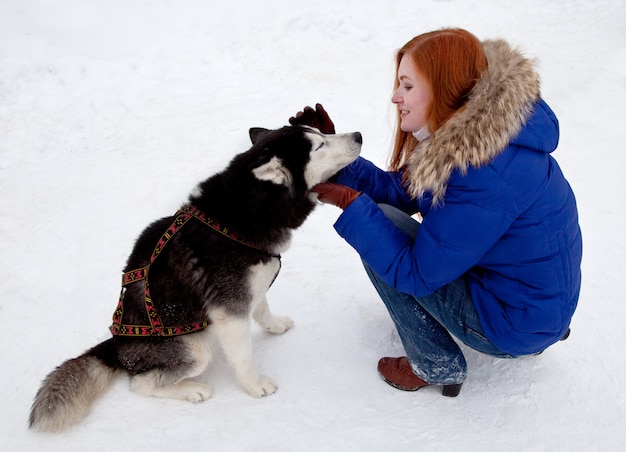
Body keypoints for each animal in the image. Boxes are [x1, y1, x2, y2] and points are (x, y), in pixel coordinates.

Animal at [29, 123, 360, 430]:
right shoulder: (230, 309)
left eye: (320, 133)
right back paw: (191, 390)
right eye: (318, 145)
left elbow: (262, 307)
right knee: (140, 383)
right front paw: (253, 385)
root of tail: (116, 346)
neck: (243, 213)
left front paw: (274, 324)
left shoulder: (251, 285)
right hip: (194, 347)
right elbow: (243, 355)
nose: (358, 135)